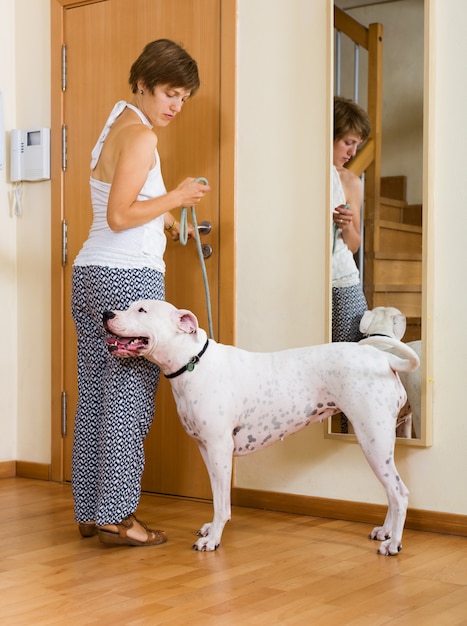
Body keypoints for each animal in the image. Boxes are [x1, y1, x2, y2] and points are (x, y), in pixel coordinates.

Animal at [103, 300, 420, 552]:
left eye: (142, 310)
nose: (107, 313)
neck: (193, 363)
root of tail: (384, 358)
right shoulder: (206, 450)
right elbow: (218, 497)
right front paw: (212, 528)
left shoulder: (219, 449)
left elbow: (221, 502)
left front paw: (213, 539)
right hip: (379, 444)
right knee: (391, 491)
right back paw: (386, 532)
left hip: (373, 440)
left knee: (399, 492)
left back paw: (393, 544)